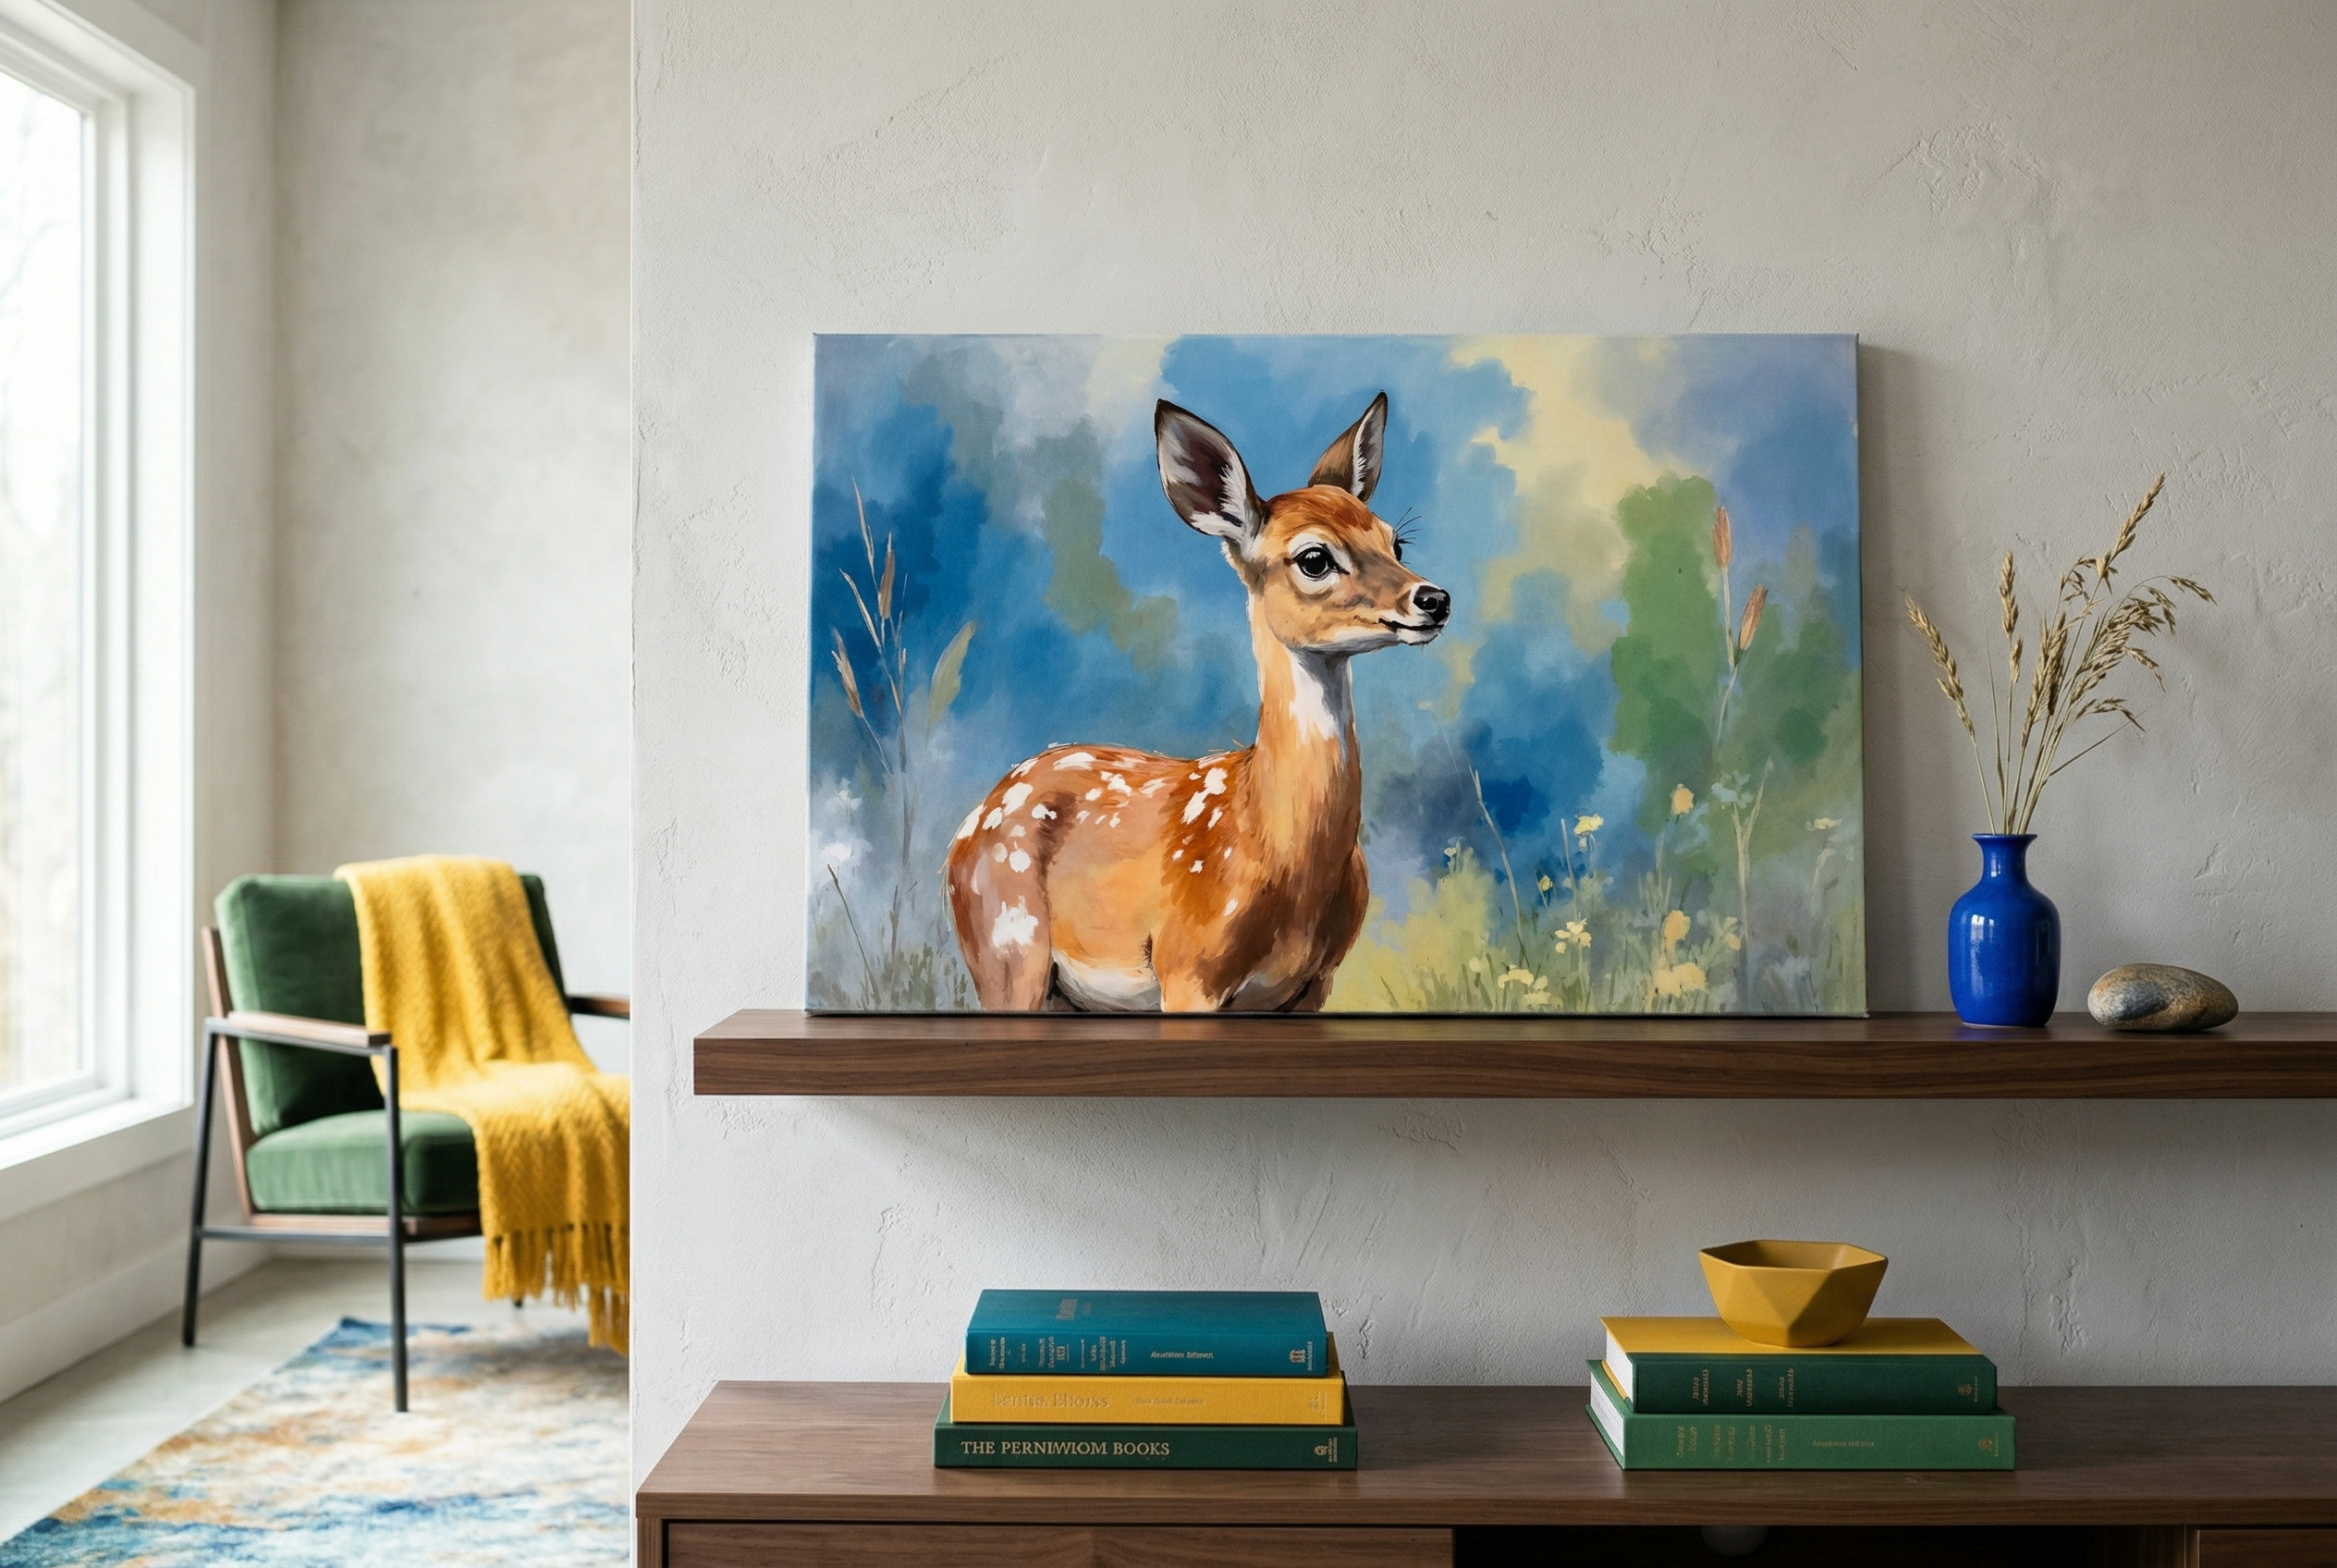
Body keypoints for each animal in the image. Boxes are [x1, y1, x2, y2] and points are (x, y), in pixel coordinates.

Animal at [944, 392, 1451, 1012]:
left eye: (1394, 541)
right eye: (1314, 558)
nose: (1433, 598)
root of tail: (975, 815)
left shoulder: (1316, 981)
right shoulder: (1188, 968)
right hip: (1006, 948)